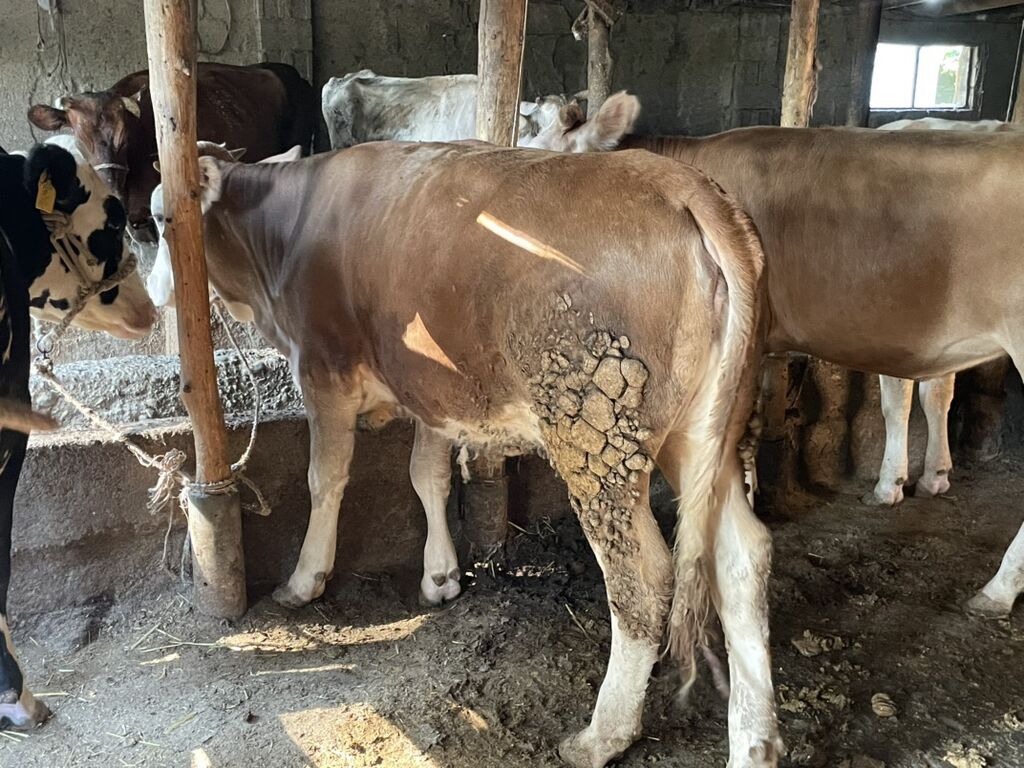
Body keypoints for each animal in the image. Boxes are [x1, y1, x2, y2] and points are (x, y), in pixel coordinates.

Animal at [148, 142, 781, 767]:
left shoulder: (323, 370)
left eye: (158, 218)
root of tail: (678, 181)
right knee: (742, 557)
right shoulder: (430, 389)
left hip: (594, 435)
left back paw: (601, 736)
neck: (285, 230)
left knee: (643, 578)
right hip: (702, 435)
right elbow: (426, 476)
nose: (154, 293)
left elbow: (324, 479)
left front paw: (305, 581)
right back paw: (753, 742)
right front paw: (441, 576)